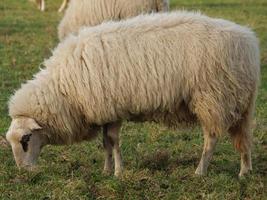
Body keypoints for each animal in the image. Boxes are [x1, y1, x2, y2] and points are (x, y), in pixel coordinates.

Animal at [6, 11, 262, 177]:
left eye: (26, 140)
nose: (24, 173)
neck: (63, 89)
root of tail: (249, 42)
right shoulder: (105, 111)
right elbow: (105, 143)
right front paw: (106, 169)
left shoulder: (112, 107)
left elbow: (112, 141)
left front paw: (118, 172)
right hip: (240, 101)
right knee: (244, 136)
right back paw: (245, 171)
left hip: (213, 97)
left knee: (212, 138)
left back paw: (200, 171)